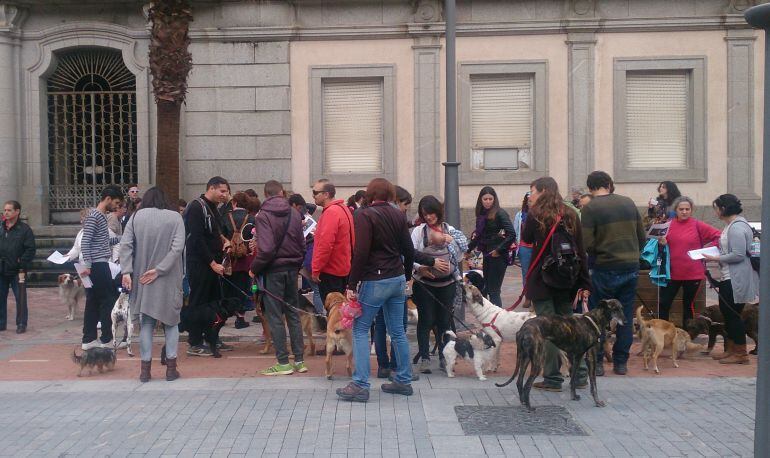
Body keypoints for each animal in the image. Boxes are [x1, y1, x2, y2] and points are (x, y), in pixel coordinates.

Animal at [496, 298, 628, 410]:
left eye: (621, 308)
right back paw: (529, 407)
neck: (594, 320)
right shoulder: (591, 357)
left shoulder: (576, 356)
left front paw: (574, 396)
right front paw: (597, 402)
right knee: (527, 384)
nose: (626, 321)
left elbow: (573, 379)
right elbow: (593, 384)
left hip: (524, 357)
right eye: (615, 309)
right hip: (538, 361)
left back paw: (523, 402)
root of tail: (524, 329)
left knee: (519, 381)